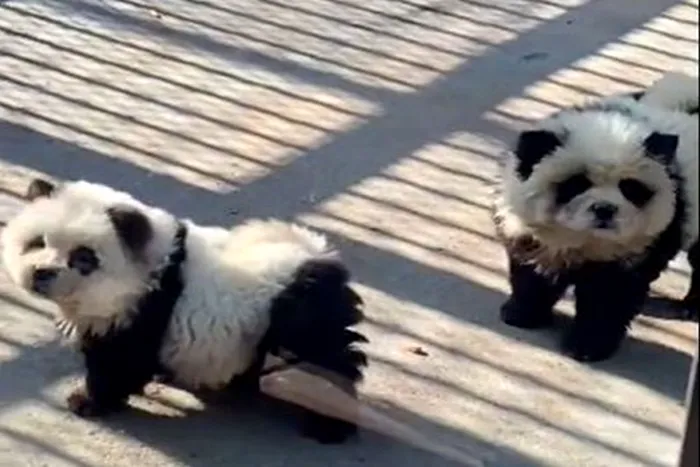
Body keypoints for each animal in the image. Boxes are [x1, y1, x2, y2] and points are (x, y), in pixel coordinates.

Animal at [1, 178, 367, 444]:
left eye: (83, 257)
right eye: (36, 242)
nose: (42, 273)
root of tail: (319, 257)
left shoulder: (145, 308)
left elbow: (119, 362)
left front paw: (86, 400)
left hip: (301, 317)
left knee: (329, 361)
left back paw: (329, 425)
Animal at [492, 71, 698, 362]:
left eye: (630, 188)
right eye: (576, 183)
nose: (605, 209)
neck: (585, 240)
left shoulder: (638, 246)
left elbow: (609, 297)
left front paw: (587, 346)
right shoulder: (529, 230)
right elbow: (533, 273)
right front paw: (521, 314)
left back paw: (692, 307)